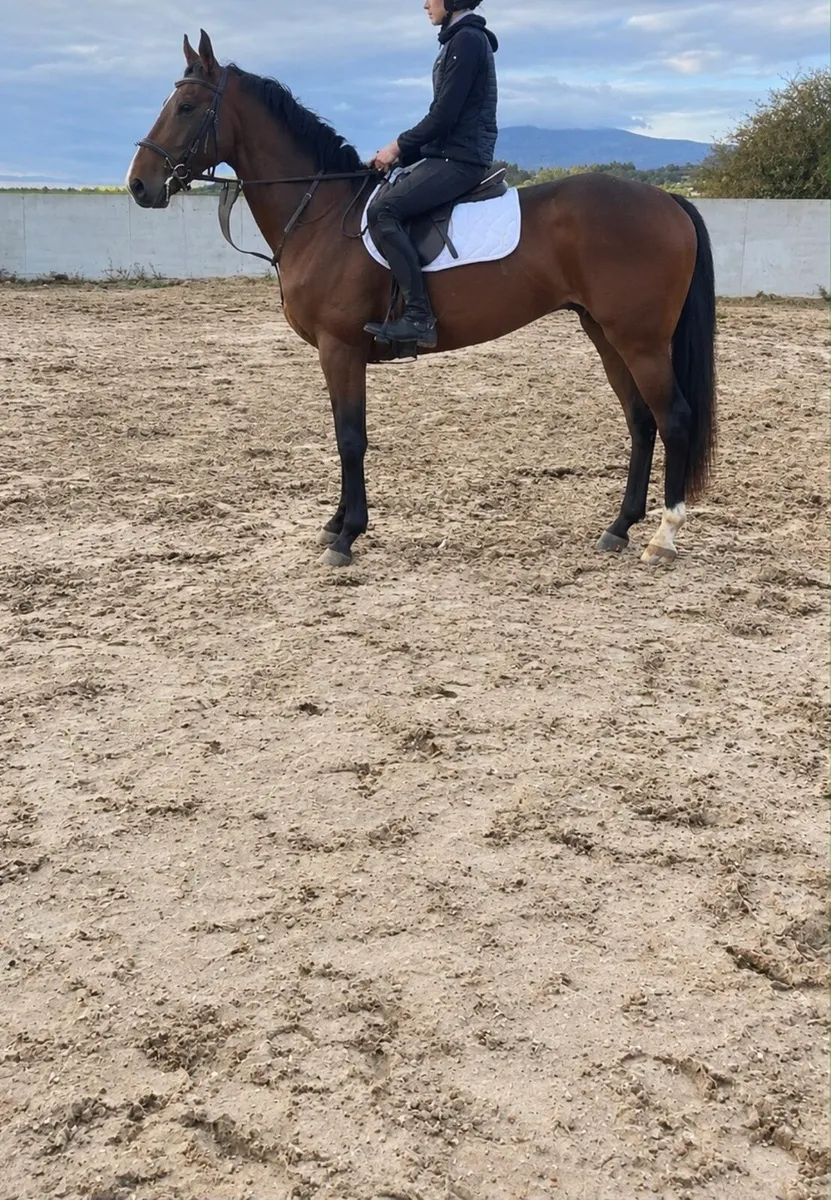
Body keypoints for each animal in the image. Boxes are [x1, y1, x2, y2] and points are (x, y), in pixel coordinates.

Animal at [127, 29, 717, 570]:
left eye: (185, 107)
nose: (138, 186)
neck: (321, 214)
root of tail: (668, 200)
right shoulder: (336, 352)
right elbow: (343, 433)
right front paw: (335, 524)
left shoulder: (339, 347)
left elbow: (350, 437)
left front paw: (347, 536)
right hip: (604, 331)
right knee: (641, 420)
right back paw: (619, 527)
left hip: (639, 340)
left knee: (674, 417)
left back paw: (663, 537)